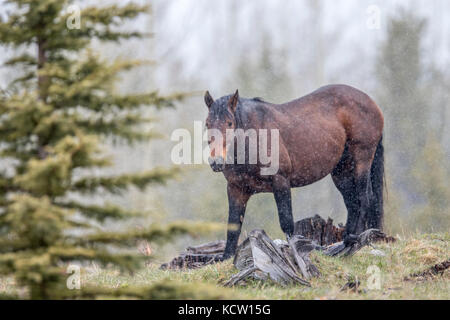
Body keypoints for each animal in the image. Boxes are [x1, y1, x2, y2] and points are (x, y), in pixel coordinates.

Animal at [204, 84, 384, 260]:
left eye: (229, 123)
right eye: (207, 124)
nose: (216, 162)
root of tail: (371, 102)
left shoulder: (281, 181)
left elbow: (286, 221)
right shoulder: (236, 189)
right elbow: (233, 225)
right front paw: (226, 257)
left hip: (362, 159)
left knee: (364, 198)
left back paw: (355, 238)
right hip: (342, 171)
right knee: (352, 201)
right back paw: (346, 240)